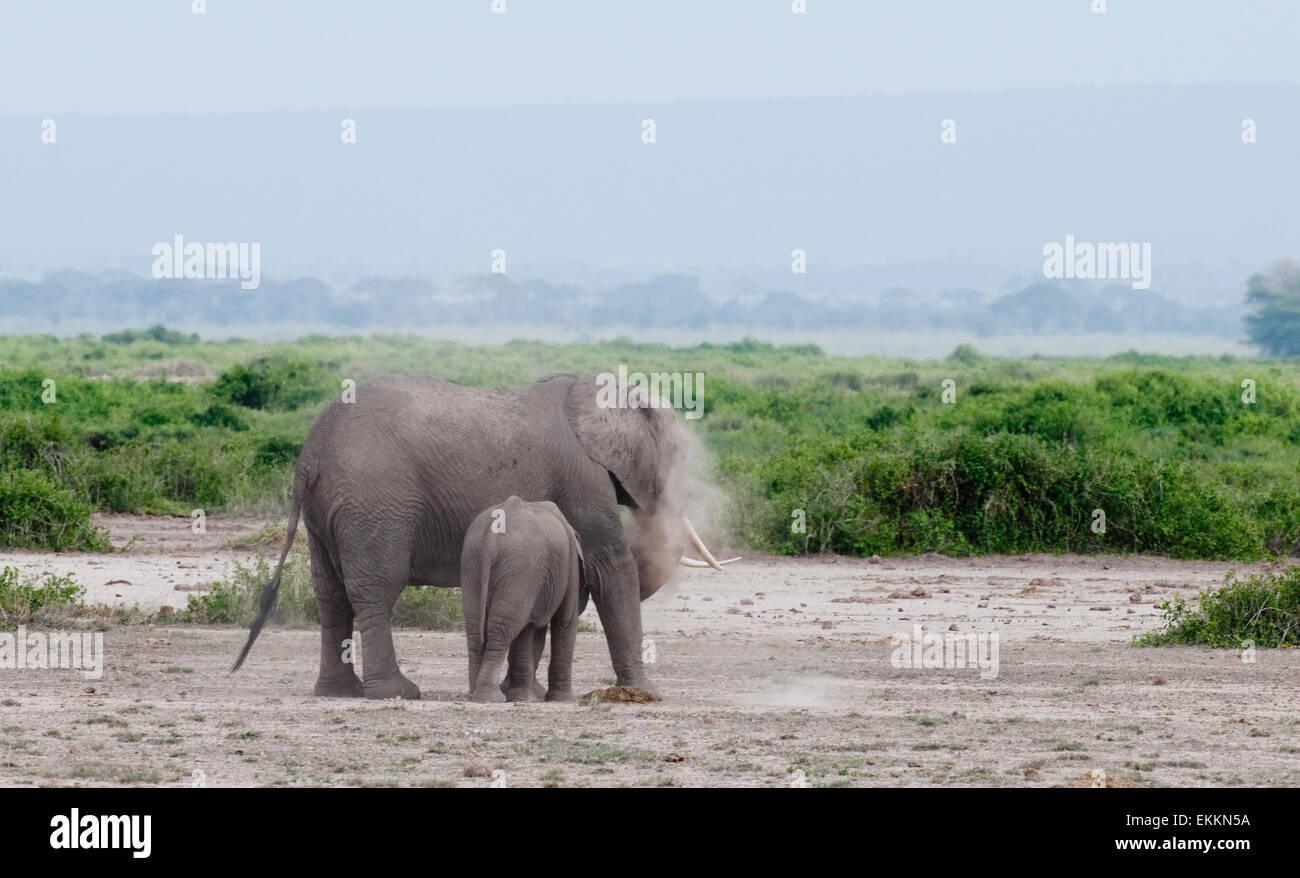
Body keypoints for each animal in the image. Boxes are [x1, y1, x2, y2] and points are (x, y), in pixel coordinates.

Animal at [459, 496, 583, 703]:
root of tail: (491, 538)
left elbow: (530, 628)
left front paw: (524, 696)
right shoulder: (570, 567)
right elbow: (565, 620)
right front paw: (564, 700)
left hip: (473, 561)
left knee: (477, 626)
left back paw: (474, 695)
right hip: (520, 568)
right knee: (504, 627)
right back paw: (491, 698)